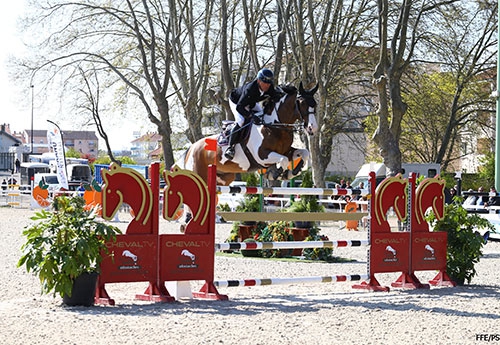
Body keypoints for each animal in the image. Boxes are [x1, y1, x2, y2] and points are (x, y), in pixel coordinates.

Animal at [180, 82, 320, 185]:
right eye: (302, 103)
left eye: (315, 104)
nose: (313, 128)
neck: (274, 126)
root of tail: (192, 148)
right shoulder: (262, 155)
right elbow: (283, 160)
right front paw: (275, 173)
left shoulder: (286, 151)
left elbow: (304, 153)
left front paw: (292, 172)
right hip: (199, 173)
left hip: (225, 177)